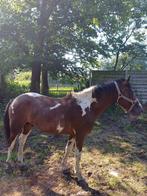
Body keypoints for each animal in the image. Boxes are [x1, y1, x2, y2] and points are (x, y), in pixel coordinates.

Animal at [3, 77, 143, 180]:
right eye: (129, 92)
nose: (140, 110)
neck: (87, 106)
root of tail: (15, 99)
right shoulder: (80, 135)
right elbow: (78, 154)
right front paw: (79, 175)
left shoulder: (73, 134)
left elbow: (67, 150)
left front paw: (64, 168)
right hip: (16, 127)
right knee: (11, 143)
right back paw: (9, 164)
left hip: (27, 126)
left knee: (21, 141)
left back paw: (21, 163)